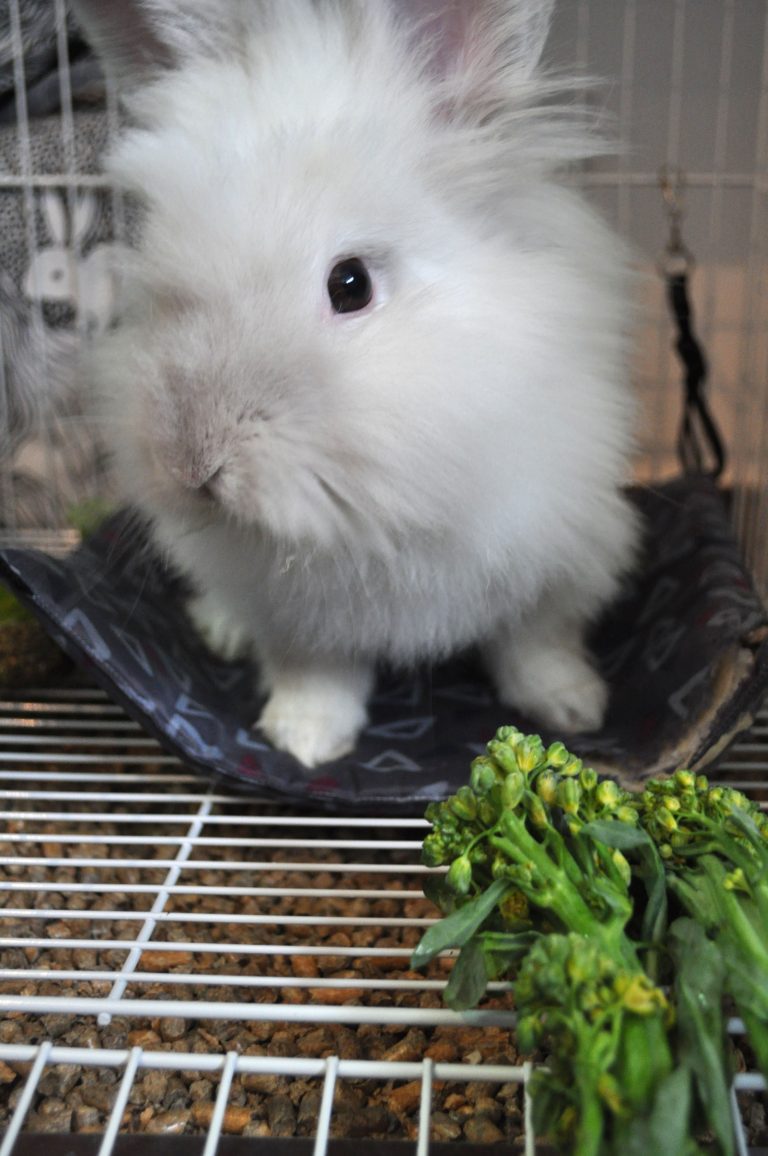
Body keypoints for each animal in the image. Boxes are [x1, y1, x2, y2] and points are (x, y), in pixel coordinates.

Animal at [72, 0, 638, 767]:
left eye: (351, 285)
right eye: (159, 285)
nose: (192, 465)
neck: (381, 511)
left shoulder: (557, 555)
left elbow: (536, 642)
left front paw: (574, 707)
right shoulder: (296, 614)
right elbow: (317, 672)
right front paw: (304, 740)